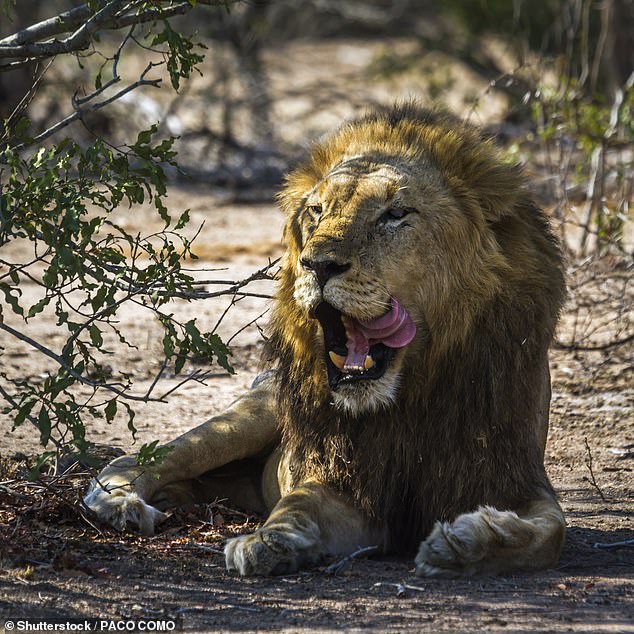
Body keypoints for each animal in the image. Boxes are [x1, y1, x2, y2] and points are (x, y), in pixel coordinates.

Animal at [82, 102, 564, 572]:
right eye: (316, 211)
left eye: (395, 214)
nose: (317, 264)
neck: (411, 395)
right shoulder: (348, 481)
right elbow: (300, 500)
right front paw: (269, 540)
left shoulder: (512, 474)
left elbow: (550, 531)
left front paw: (466, 542)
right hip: (250, 416)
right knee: (142, 458)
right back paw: (121, 504)